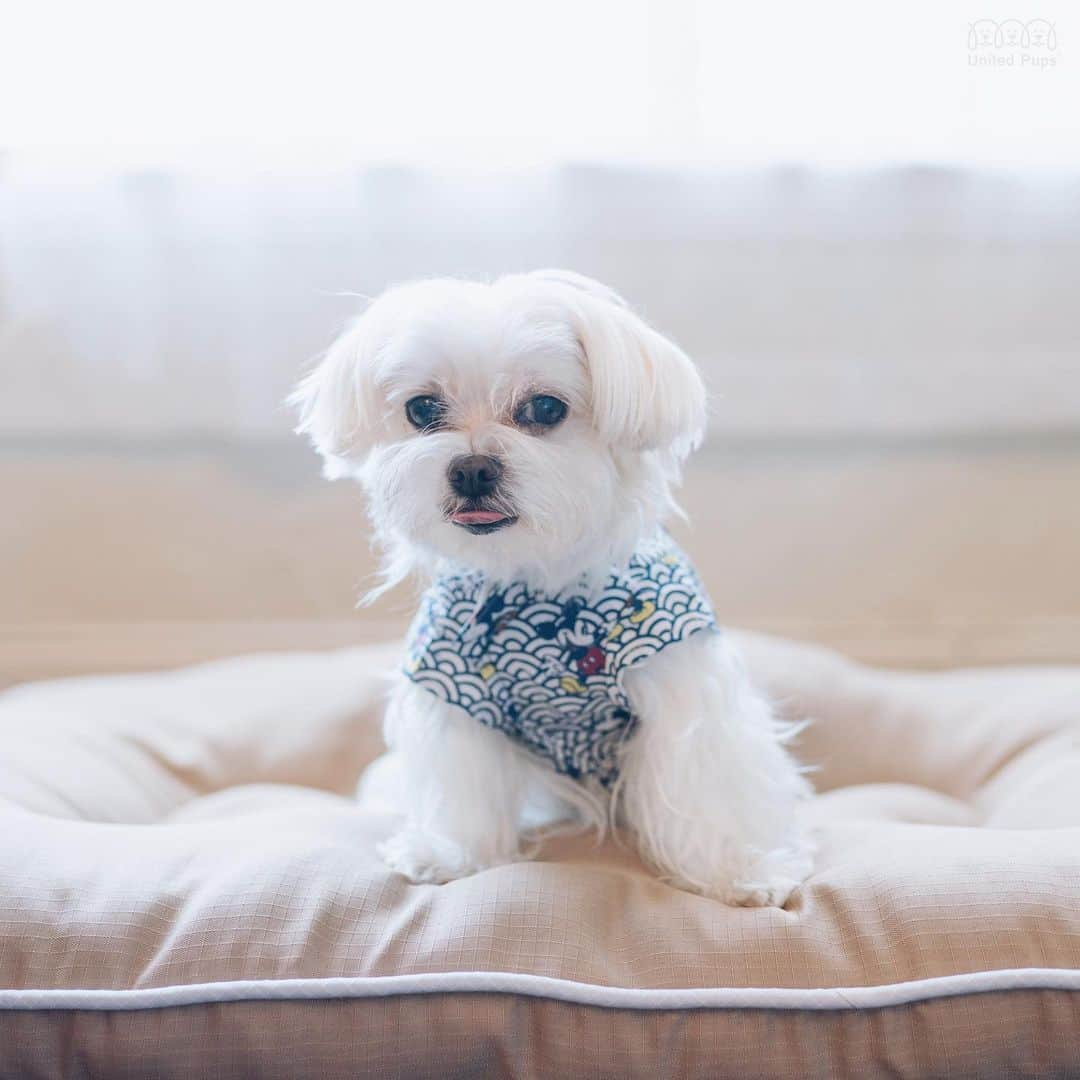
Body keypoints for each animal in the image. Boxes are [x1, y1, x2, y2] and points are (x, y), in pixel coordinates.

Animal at [291, 267, 812, 902]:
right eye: (422, 408)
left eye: (544, 407)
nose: (471, 469)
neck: (537, 587)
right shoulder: (458, 696)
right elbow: (462, 782)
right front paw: (449, 853)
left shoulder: (680, 687)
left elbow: (701, 784)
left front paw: (737, 871)